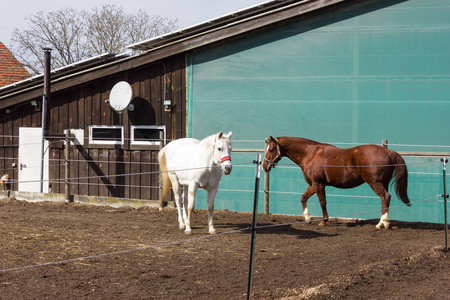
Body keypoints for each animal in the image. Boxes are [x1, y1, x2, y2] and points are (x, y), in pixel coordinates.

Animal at [262, 137, 410, 229]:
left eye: (271, 149)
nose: (264, 166)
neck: (311, 154)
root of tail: (387, 151)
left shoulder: (318, 185)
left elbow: (323, 202)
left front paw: (323, 221)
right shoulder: (312, 185)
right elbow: (303, 198)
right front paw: (308, 218)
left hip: (375, 182)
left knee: (385, 197)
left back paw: (382, 223)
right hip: (383, 183)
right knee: (384, 200)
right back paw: (383, 222)